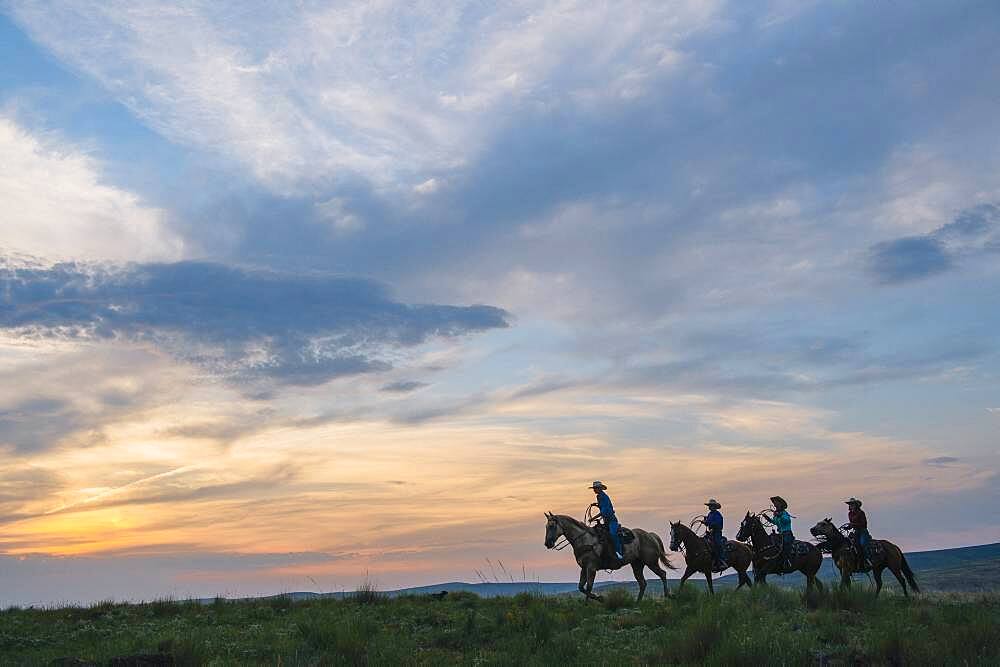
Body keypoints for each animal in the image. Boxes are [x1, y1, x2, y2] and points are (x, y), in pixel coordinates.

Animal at [544, 516, 676, 604]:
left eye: (552, 526)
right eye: (546, 526)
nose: (548, 543)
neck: (585, 540)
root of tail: (651, 535)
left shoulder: (591, 568)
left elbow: (589, 587)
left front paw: (590, 603)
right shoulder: (584, 568)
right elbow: (581, 587)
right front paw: (599, 598)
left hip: (651, 562)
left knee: (662, 574)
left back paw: (667, 595)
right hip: (637, 565)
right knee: (643, 583)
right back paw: (637, 602)